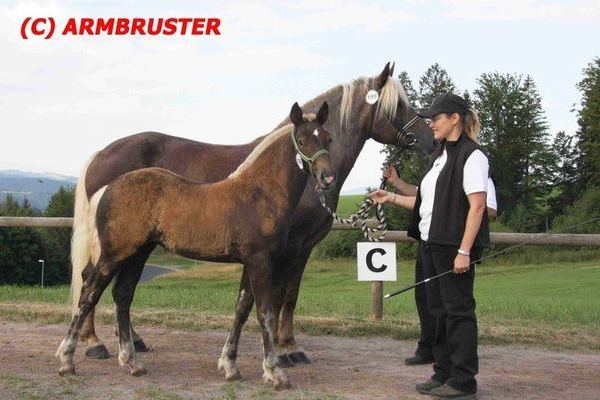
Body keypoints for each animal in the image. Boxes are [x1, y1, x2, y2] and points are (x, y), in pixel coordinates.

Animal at [56, 101, 332, 390]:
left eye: (328, 139)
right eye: (302, 140)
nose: (327, 177)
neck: (260, 193)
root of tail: (108, 189)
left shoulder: (250, 262)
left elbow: (241, 310)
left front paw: (230, 366)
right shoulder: (260, 261)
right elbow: (265, 312)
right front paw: (275, 372)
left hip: (138, 253)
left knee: (122, 294)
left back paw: (132, 363)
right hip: (114, 253)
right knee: (89, 291)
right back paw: (68, 360)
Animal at [71, 61, 436, 366]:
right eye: (397, 106)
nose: (431, 140)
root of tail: (100, 154)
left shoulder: (303, 248)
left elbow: (290, 295)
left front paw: (287, 346)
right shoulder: (286, 248)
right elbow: (277, 296)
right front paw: (285, 350)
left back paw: (129, 341)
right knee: (92, 279)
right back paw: (93, 343)